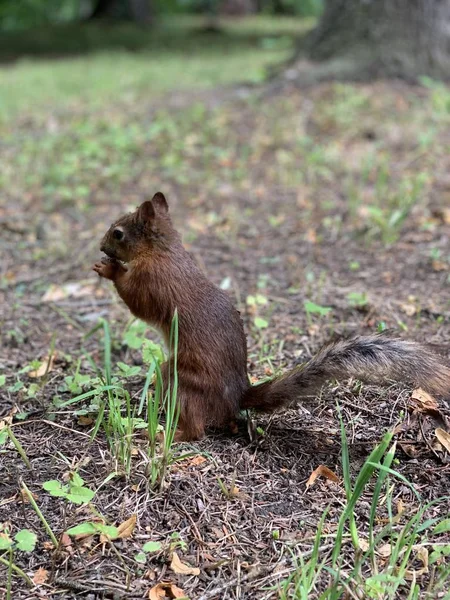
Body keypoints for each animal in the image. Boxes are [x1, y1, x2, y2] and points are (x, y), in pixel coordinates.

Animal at [94, 192, 450, 440]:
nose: (100, 246)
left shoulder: (152, 282)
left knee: (197, 427)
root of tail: (237, 396)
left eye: (118, 233)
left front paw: (109, 270)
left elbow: (136, 301)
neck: (163, 250)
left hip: (183, 381)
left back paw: (170, 434)